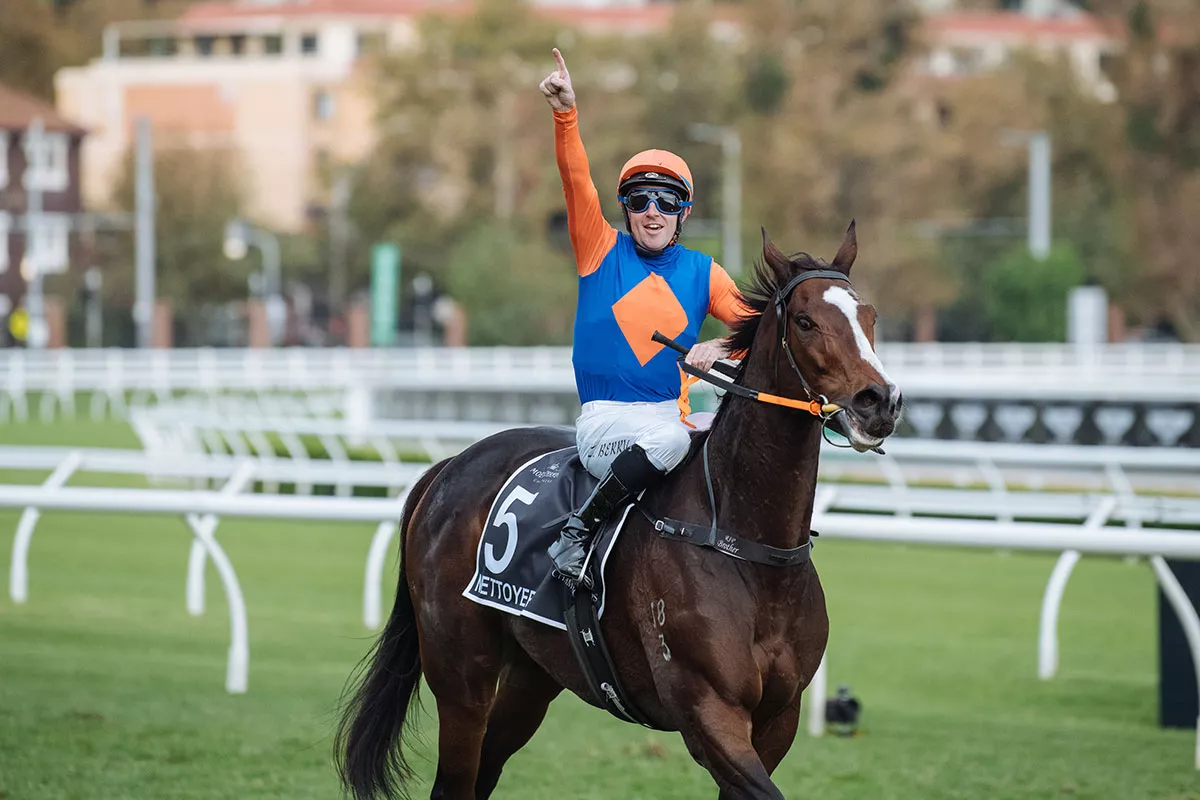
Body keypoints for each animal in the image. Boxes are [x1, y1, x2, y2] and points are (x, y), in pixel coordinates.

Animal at [338, 221, 902, 800]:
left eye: (870, 316)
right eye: (806, 321)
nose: (878, 401)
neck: (747, 545)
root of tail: (450, 465)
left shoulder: (777, 720)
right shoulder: (708, 712)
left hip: (531, 676)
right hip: (460, 676)